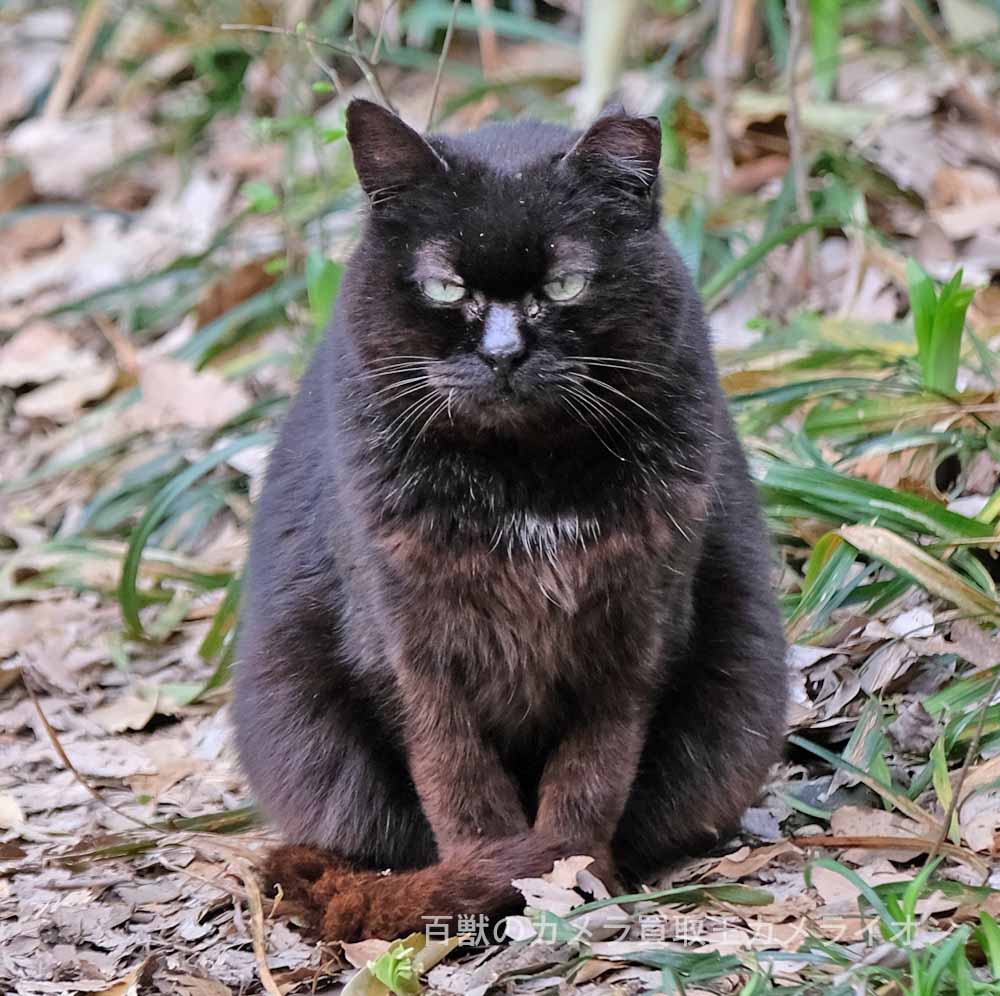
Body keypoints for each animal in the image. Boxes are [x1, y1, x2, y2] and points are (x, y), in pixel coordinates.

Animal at [230, 101, 784, 940]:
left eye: (563, 283)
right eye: (443, 285)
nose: (502, 353)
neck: (524, 485)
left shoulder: (634, 635)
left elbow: (594, 772)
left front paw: (573, 876)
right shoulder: (412, 649)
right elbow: (455, 775)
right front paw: (493, 878)